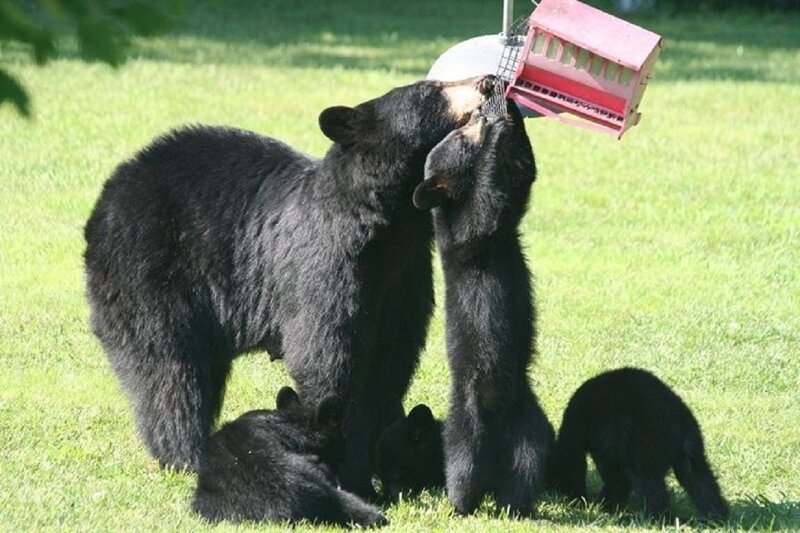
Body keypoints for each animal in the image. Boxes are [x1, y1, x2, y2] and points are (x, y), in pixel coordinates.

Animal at [83, 75, 496, 496]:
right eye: (432, 89)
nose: (487, 82)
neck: (386, 229)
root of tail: (109, 193)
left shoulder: (403, 279)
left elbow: (390, 362)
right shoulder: (325, 267)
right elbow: (328, 359)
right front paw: (353, 473)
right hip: (148, 273)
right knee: (168, 369)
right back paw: (186, 453)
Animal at [412, 97, 554, 517]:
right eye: (459, 137)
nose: (475, 114)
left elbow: (522, 178)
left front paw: (512, 109)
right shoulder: (463, 236)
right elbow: (485, 212)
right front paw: (497, 131)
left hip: (528, 420)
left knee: (528, 464)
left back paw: (517, 505)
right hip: (464, 419)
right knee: (462, 465)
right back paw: (460, 504)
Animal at [548, 367, 729, 522]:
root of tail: (679, 426)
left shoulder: (582, 432)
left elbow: (576, 463)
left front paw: (581, 501)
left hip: (646, 443)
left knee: (647, 480)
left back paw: (650, 518)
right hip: (692, 448)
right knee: (699, 476)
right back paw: (715, 517)